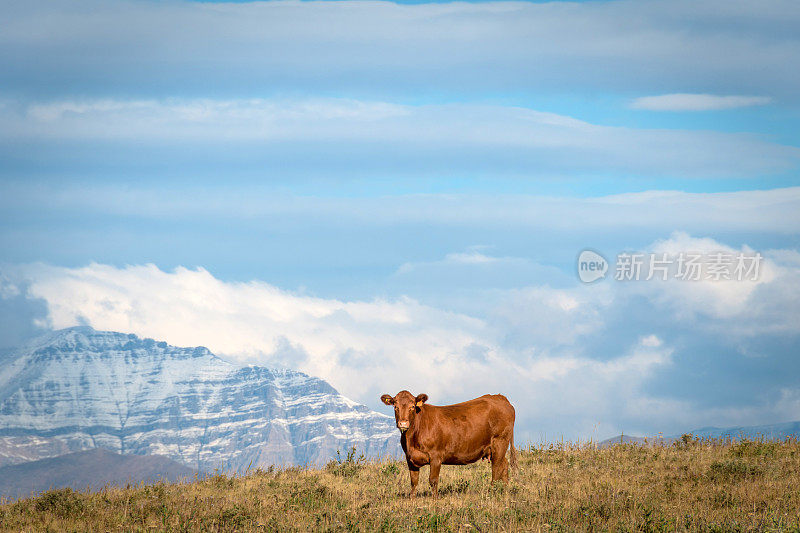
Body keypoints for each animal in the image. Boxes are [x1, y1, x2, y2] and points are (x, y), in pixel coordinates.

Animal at [380, 388, 516, 496]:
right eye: (395, 407)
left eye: (412, 407)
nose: (403, 423)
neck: (411, 439)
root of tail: (499, 397)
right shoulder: (410, 458)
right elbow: (414, 482)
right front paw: (412, 500)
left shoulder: (436, 456)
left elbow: (433, 480)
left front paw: (434, 501)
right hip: (495, 448)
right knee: (504, 465)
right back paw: (504, 491)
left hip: (500, 441)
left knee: (496, 469)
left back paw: (493, 492)